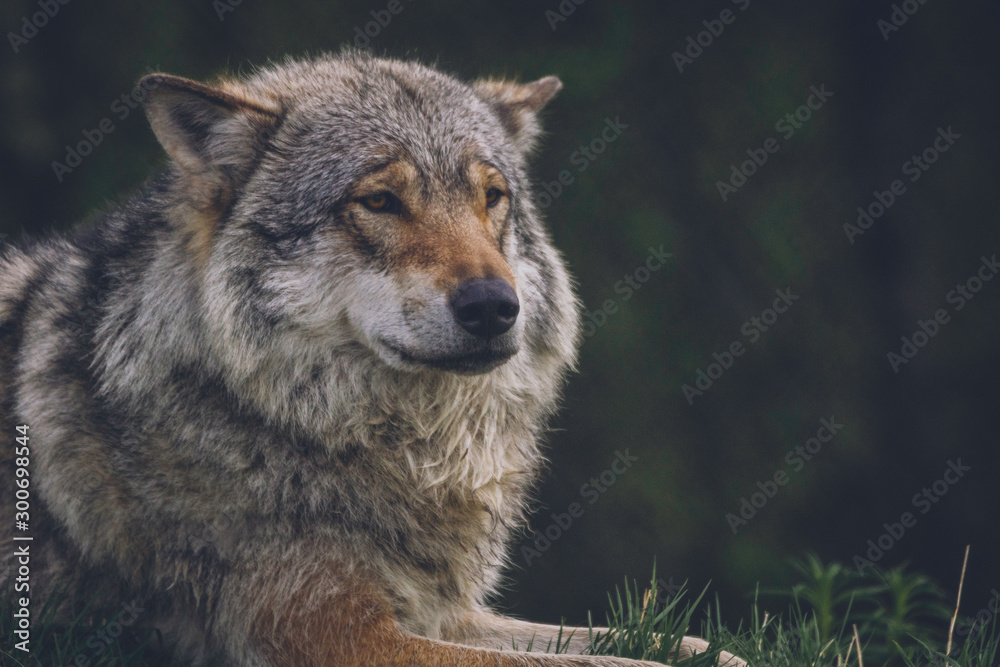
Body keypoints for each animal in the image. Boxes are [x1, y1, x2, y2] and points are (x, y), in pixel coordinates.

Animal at [0, 51, 744, 666]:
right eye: (380, 201)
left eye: (491, 197)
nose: (493, 306)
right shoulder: (334, 631)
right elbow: (602, 662)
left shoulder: (444, 611)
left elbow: (635, 642)